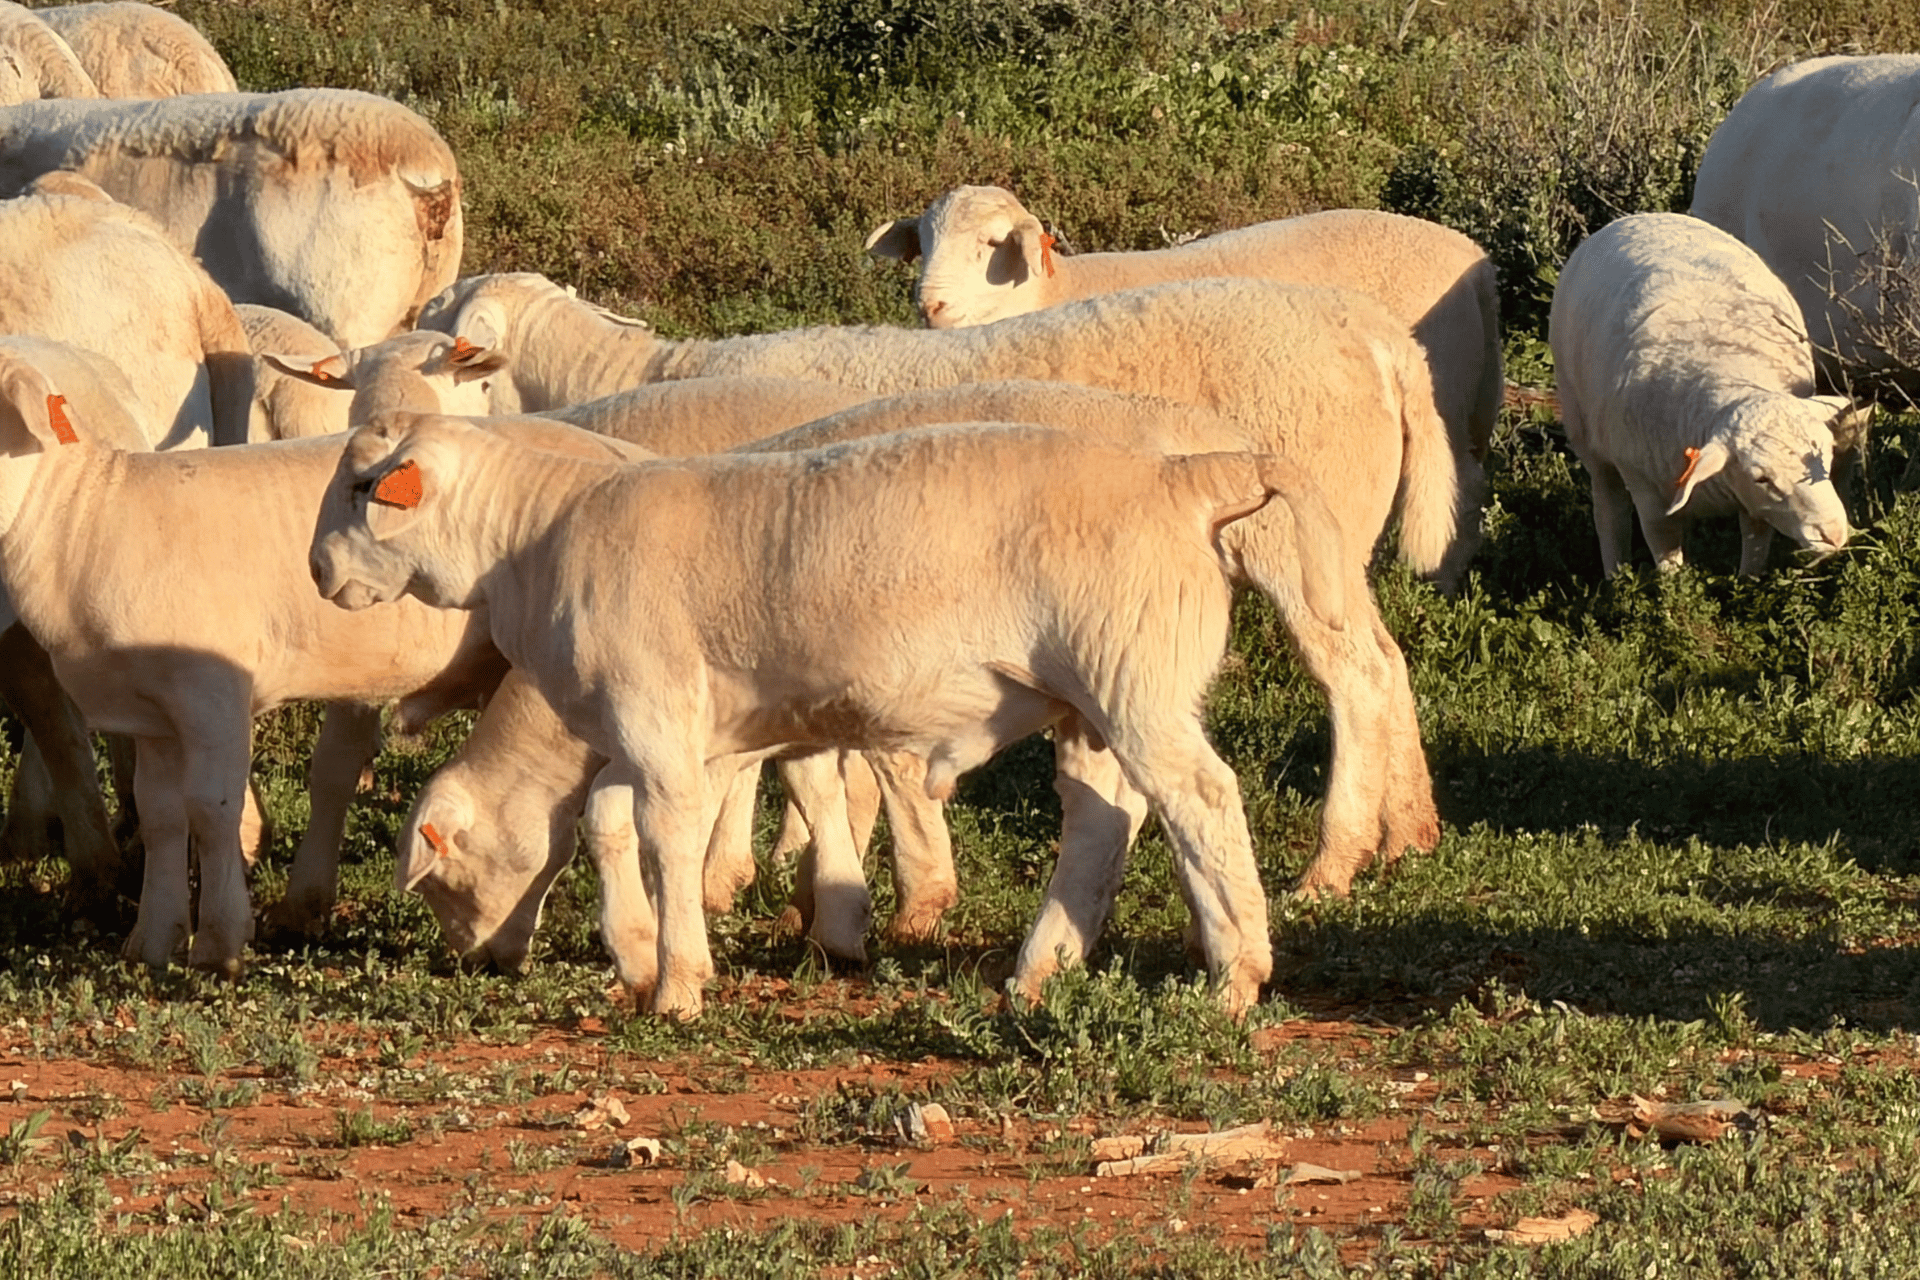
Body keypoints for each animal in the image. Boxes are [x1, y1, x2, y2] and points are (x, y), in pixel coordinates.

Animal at [389, 380, 1422, 995]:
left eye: (444, 877)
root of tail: (1196, 468)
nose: (481, 964)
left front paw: (829, 914)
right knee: (1112, 808)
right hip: (1107, 687)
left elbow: (794, 793)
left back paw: (1271, 931)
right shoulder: (751, 717)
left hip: (1156, 656)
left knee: (1277, 735)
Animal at [864, 189, 1502, 583]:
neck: (1052, 293)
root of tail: (1474, 256)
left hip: (1447, 395)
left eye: (992, 245)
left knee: (1458, 487)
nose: (931, 304)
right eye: (923, 243)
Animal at [1549, 213, 1859, 577]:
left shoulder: (1751, 503)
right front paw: (1673, 590)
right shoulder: (1650, 498)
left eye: (1828, 454)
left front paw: (1748, 583)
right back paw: (1616, 576)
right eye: (1762, 478)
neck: (1732, 374)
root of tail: (1640, 217)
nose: (1833, 532)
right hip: (1584, 432)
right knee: (1610, 511)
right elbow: (1666, 558)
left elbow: (1755, 542)